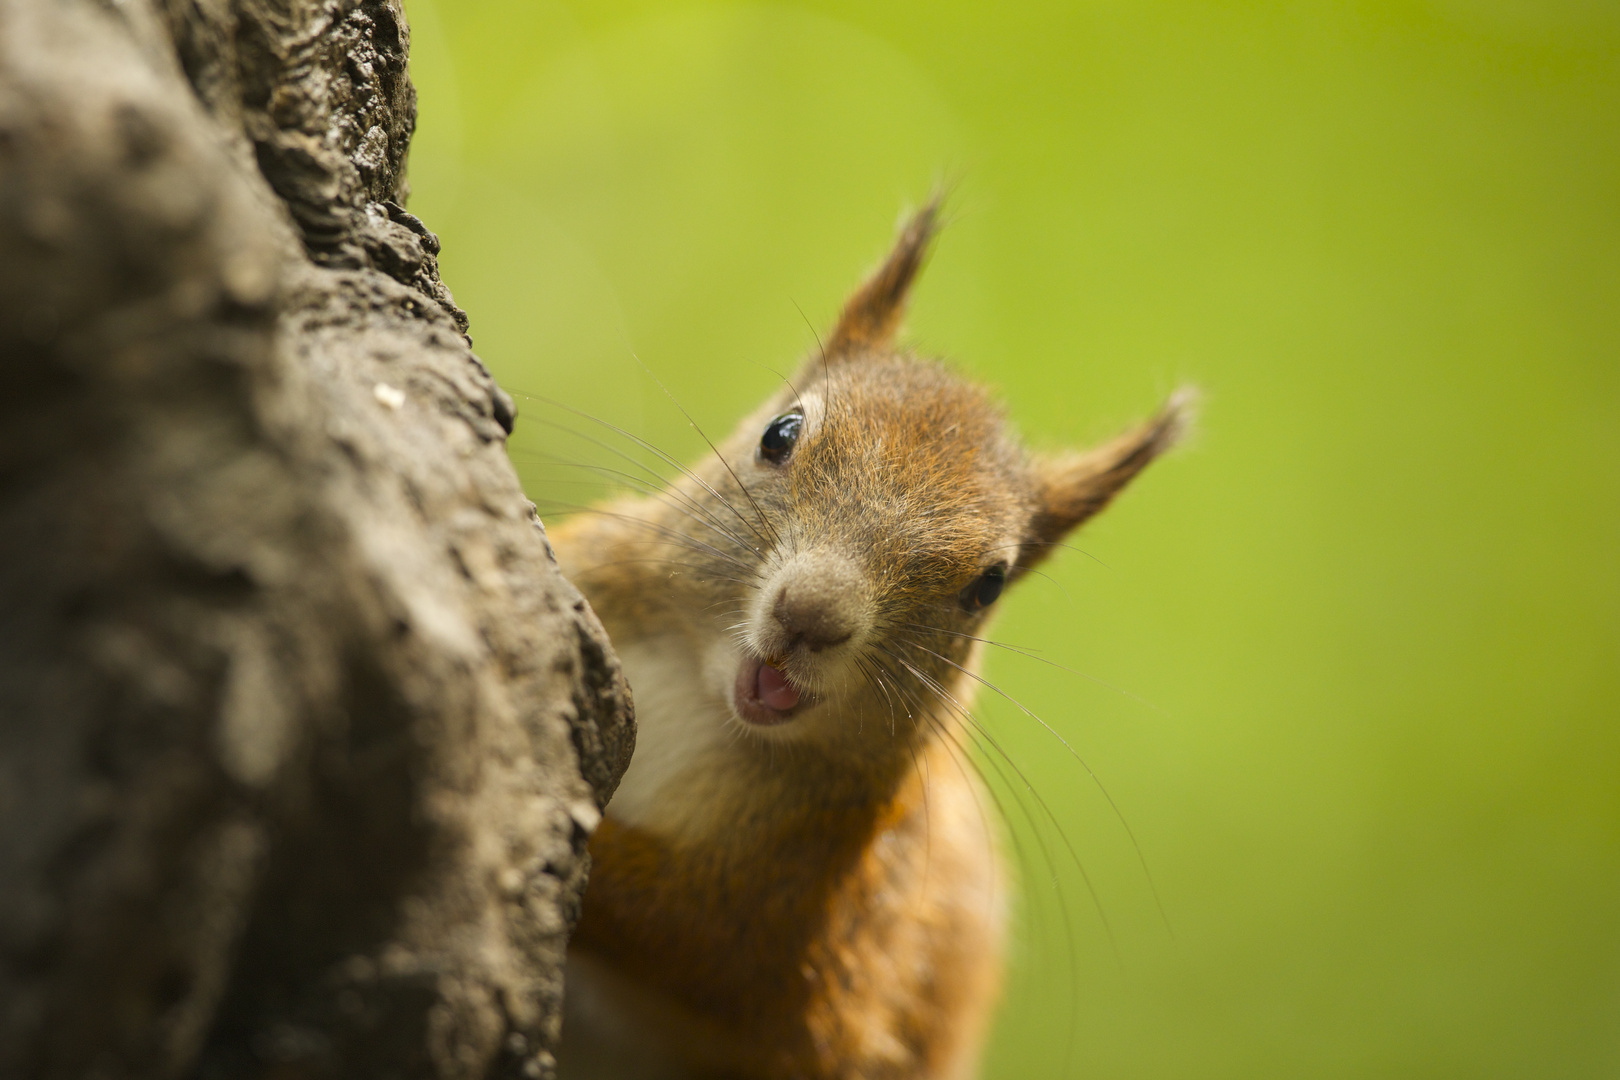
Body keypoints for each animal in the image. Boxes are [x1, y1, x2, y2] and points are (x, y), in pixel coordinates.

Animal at [547, 204, 1192, 1080]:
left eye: (989, 585)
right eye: (781, 433)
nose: (811, 615)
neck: (700, 699)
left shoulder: (814, 914)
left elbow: (688, 932)